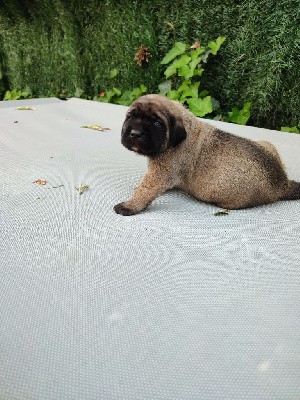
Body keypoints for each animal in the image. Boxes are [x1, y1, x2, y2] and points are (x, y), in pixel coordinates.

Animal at [113, 94, 298, 216]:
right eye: (131, 117)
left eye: (157, 123)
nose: (135, 133)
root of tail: (283, 182)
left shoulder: (159, 174)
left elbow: (145, 190)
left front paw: (130, 205)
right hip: (267, 144)